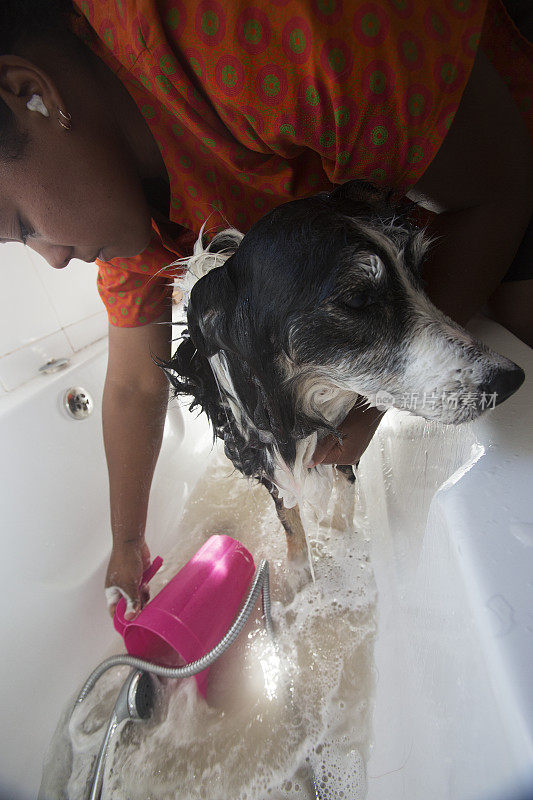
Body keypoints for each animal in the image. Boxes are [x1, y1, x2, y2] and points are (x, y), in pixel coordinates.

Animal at [158, 179, 524, 560]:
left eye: (418, 273)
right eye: (357, 298)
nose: (511, 379)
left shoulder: (346, 445)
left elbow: (343, 497)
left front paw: (337, 532)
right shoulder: (261, 459)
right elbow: (291, 527)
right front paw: (300, 566)